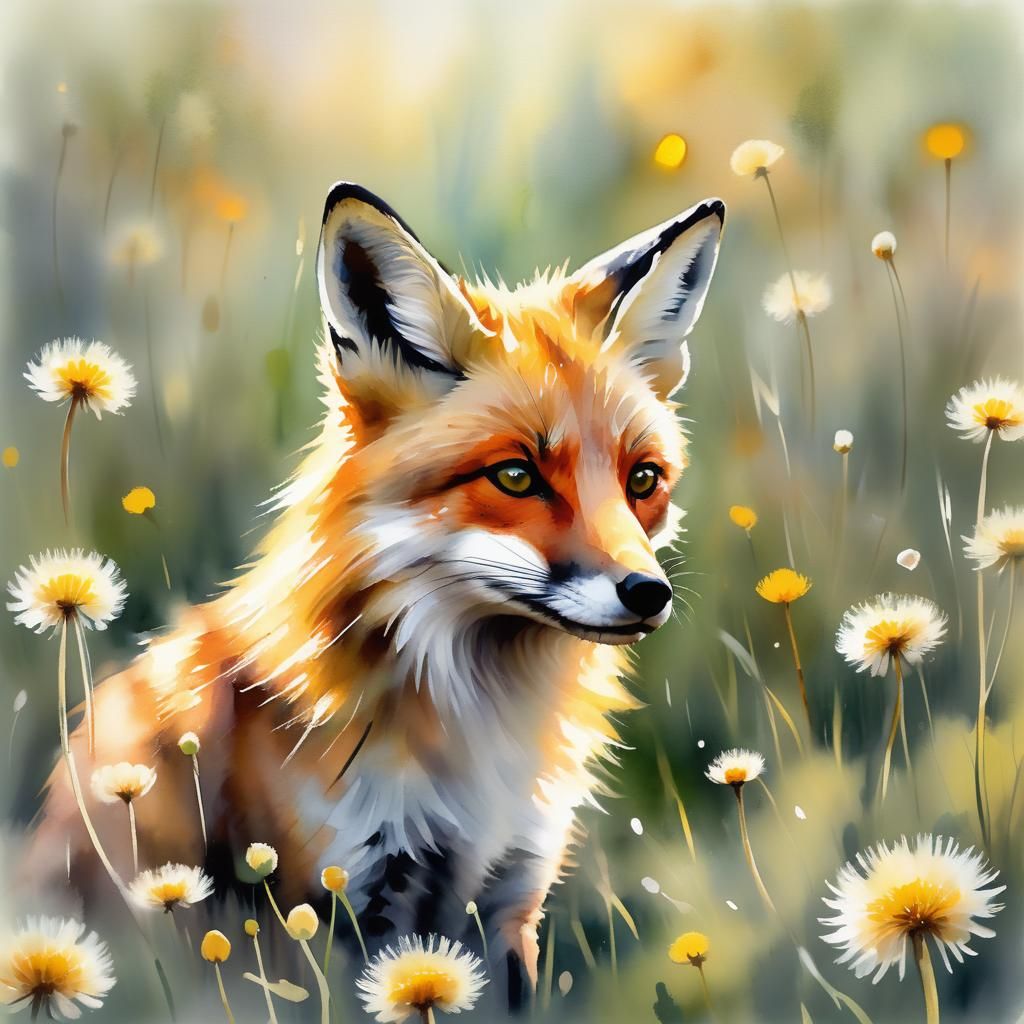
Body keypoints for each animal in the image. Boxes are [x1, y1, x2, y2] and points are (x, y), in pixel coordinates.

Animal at [29, 182, 725, 998]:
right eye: (516, 476)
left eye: (642, 480)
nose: (647, 593)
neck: (477, 739)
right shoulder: (329, 908)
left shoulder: (507, 904)